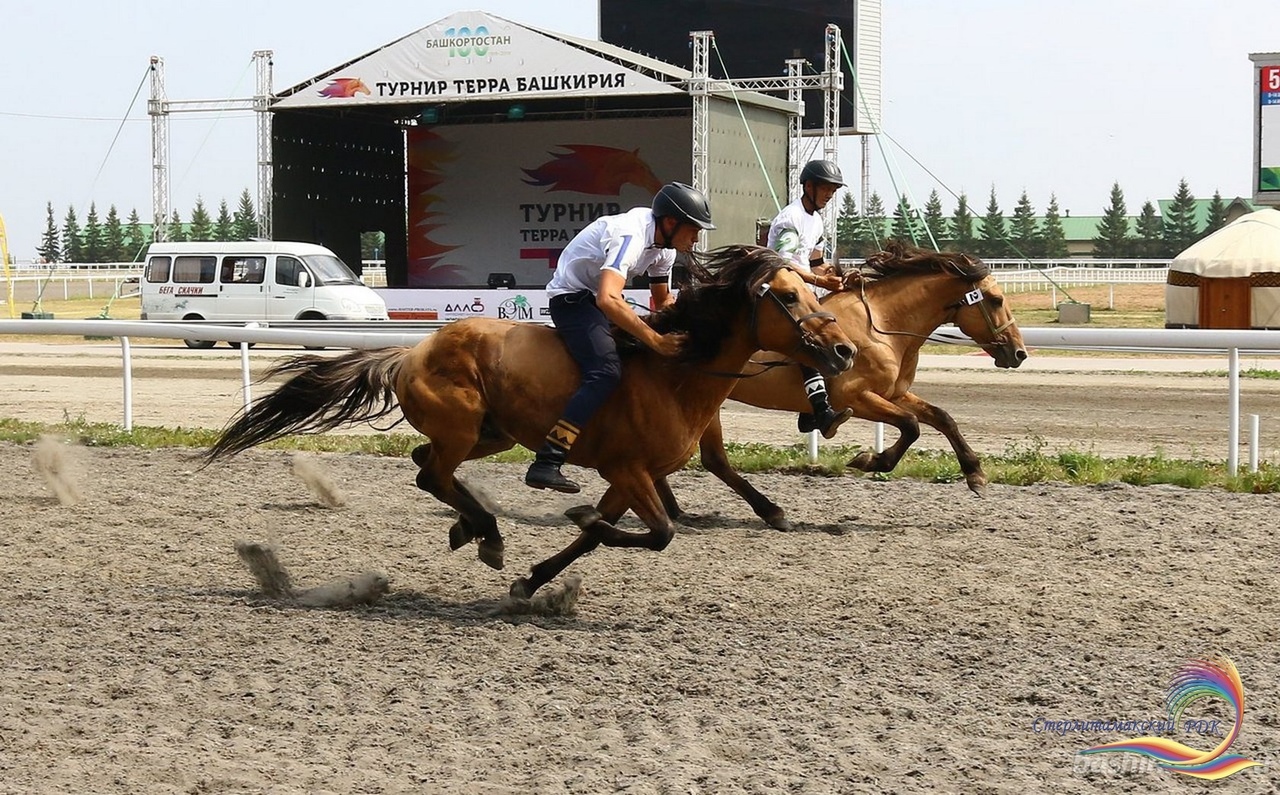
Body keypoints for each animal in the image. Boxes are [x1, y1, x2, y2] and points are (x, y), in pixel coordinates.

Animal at [203, 245, 857, 598]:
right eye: (789, 298)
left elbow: (601, 535)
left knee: (425, 466)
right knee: (430, 473)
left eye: (812, 290)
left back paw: (473, 529)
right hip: (465, 426)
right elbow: (657, 533)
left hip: (490, 434)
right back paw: (486, 530)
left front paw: (535, 579)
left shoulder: (628, 478)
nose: (845, 351)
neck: (676, 371)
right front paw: (571, 519)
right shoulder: (630, 469)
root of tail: (413, 351)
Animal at [655, 240, 1028, 531]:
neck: (881, 326)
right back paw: (766, 512)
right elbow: (911, 426)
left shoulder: (893, 393)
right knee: (711, 458)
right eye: (996, 300)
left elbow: (942, 418)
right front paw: (870, 460)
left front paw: (975, 474)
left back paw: (674, 507)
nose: (1019, 352)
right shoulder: (857, 397)